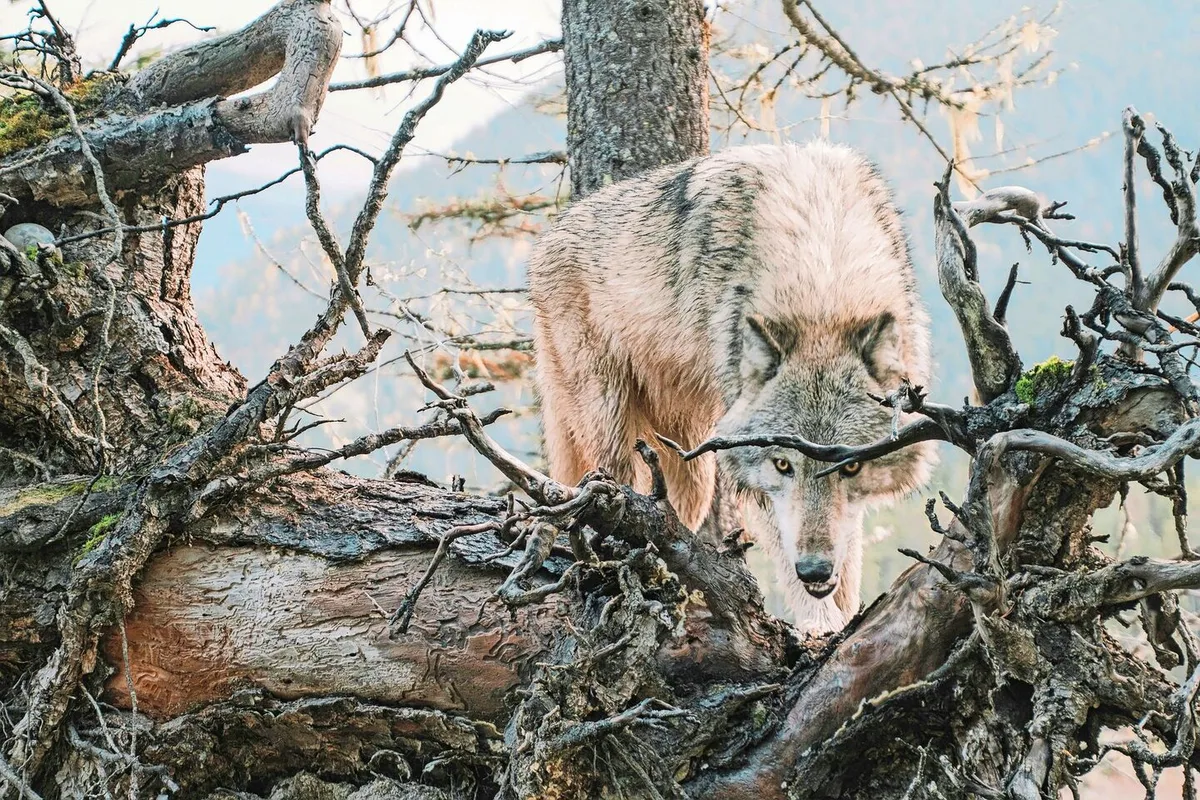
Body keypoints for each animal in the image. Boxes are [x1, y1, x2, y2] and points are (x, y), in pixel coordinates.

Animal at [528, 140, 935, 633]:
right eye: (782, 465)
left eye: (851, 466)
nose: (814, 570)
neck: (823, 276)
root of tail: (549, 236)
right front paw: (820, 627)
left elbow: (849, 552)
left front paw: (845, 616)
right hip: (615, 435)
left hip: (690, 468)